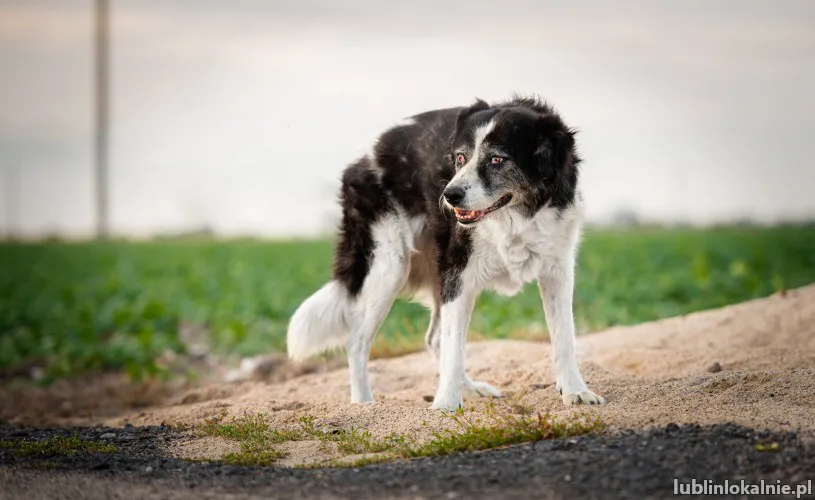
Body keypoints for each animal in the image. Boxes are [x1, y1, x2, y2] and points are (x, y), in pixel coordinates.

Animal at [286, 94, 604, 410]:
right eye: (460, 158)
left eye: (497, 159)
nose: (449, 195)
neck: (515, 218)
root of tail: (358, 159)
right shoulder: (459, 274)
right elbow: (454, 347)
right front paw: (446, 406)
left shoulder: (557, 271)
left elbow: (564, 337)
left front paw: (575, 391)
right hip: (389, 266)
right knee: (358, 340)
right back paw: (363, 404)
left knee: (435, 338)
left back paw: (471, 389)